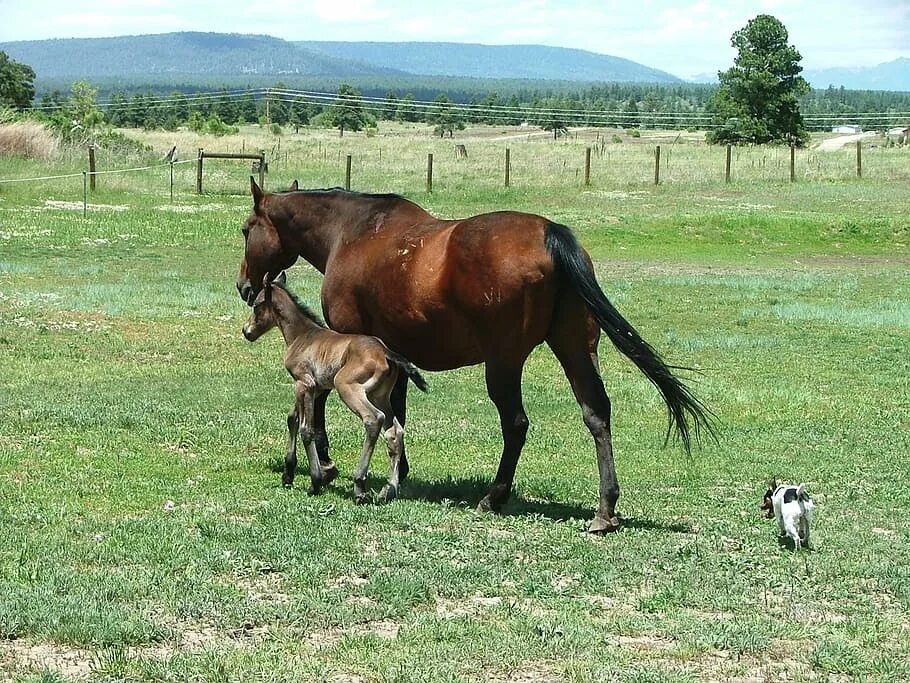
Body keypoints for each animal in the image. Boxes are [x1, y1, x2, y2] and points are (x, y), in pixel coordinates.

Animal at [237, 179, 712, 532]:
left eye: (246, 229)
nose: (244, 287)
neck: (351, 231)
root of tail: (550, 233)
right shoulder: (394, 356)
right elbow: (397, 413)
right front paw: (398, 473)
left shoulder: (344, 344)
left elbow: (321, 408)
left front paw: (327, 466)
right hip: (576, 349)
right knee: (596, 413)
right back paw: (604, 510)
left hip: (504, 363)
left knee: (516, 424)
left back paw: (494, 497)